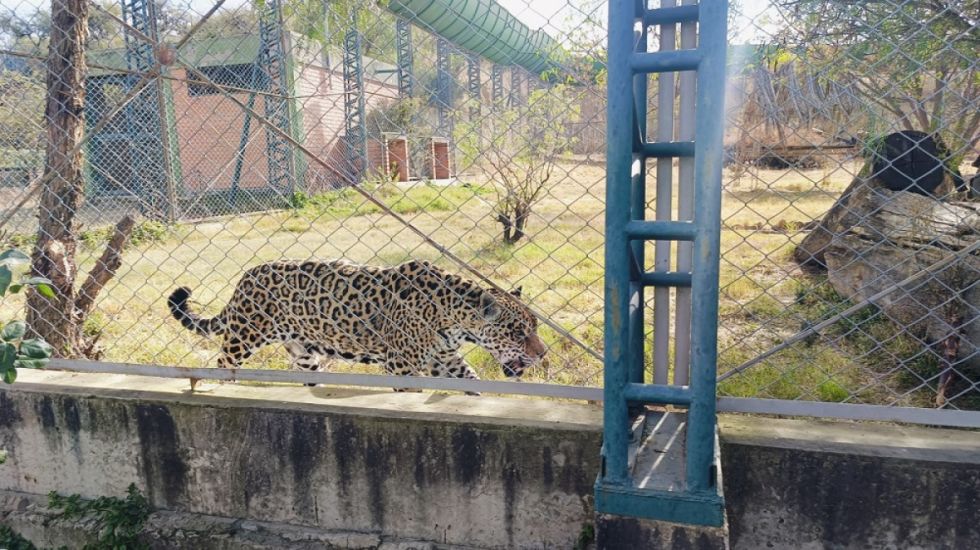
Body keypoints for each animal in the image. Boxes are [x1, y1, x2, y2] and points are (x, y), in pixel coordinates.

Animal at [167, 259, 547, 387]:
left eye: (536, 329)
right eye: (518, 333)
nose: (543, 354)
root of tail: (245, 277)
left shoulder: (446, 359)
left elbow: (473, 381)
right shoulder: (402, 366)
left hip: (303, 351)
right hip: (244, 336)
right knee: (222, 364)